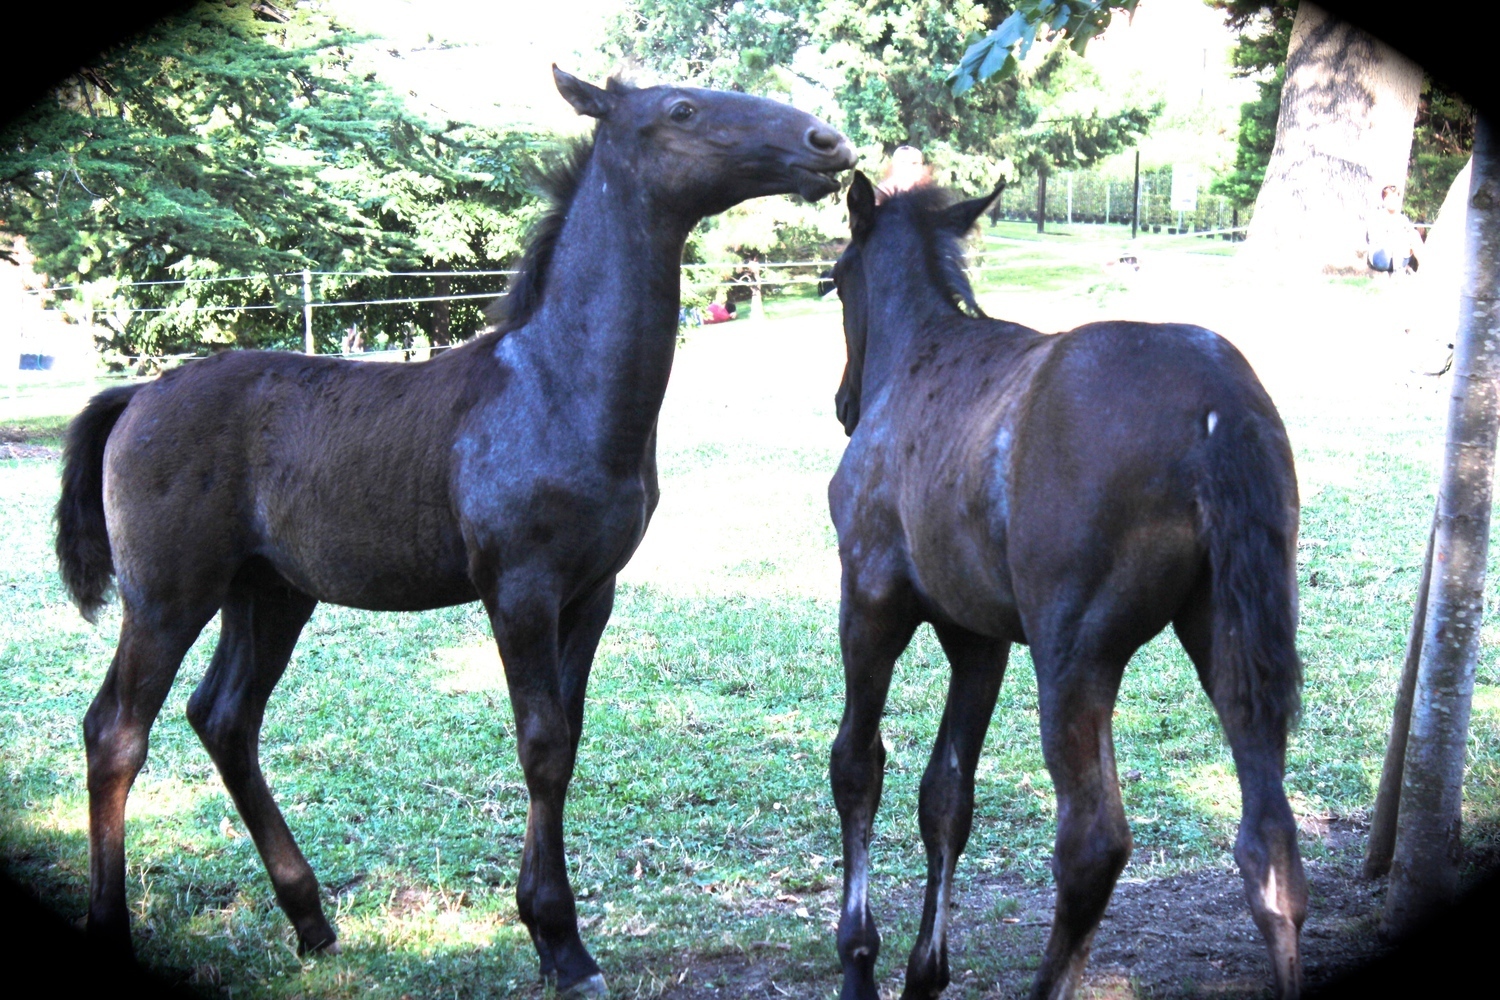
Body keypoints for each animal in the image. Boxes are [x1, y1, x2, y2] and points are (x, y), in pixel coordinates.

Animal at [55, 72, 858, 1000]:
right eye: (682, 110)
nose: (828, 144)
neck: (558, 387)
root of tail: (137, 396)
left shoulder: (593, 592)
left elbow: (568, 736)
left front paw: (548, 929)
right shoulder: (519, 589)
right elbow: (541, 743)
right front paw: (562, 943)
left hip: (271, 594)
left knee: (224, 717)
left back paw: (311, 918)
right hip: (168, 594)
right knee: (116, 732)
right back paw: (116, 923)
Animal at [828, 172, 1308, 1000]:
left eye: (834, 278)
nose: (843, 402)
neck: (919, 352)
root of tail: (1222, 405)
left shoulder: (870, 599)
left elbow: (859, 765)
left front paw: (861, 955)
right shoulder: (979, 637)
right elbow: (946, 795)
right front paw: (926, 971)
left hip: (1076, 653)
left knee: (1093, 843)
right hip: (1229, 637)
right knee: (1268, 839)